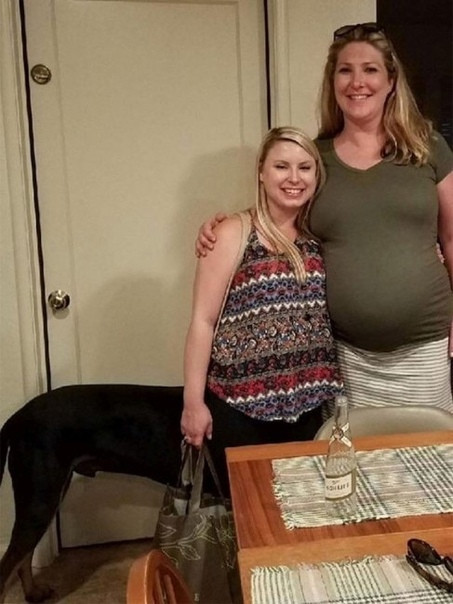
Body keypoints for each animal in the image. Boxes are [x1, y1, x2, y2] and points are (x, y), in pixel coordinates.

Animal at [0, 384, 186, 603]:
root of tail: (16, 418)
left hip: (44, 499)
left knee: (24, 555)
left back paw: (33, 592)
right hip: (40, 501)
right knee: (8, 566)